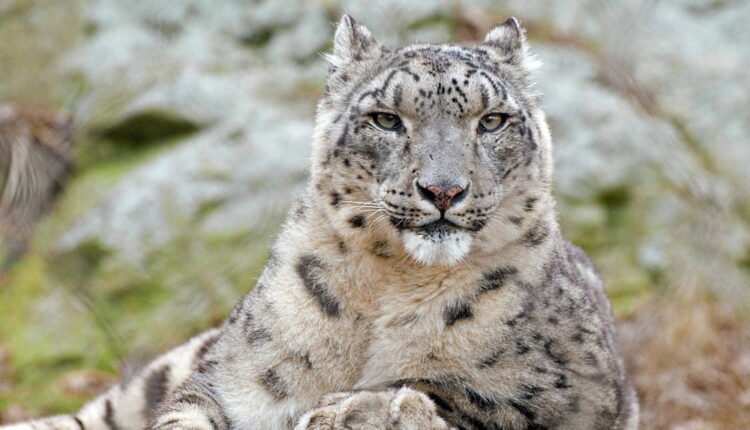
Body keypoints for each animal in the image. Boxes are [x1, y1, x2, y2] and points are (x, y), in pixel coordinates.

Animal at [2, 15, 638, 430]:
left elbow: (475, 397)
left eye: (493, 120)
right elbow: (187, 411)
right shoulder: (226, 378)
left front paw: (359, 408)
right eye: (387, 119)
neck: (394, 285)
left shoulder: (577, 390)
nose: (443, 190)